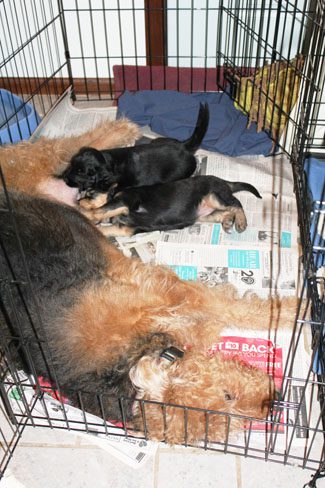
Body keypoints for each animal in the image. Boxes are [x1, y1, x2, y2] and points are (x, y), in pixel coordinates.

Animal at [0, 191, 298, 446]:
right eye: (228, 399)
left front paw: (300, 309)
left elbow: (242, 310)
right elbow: (233, 310)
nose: (275, 400)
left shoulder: (170, 294)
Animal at [61, 102, 209, 194]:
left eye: (81, 172)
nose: (64, 178)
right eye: (72, 164)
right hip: (157, 140)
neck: (108, 161)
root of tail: (184, 146)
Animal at [79, 174, 262, 237]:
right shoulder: (124, 229)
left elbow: (102, 209)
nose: (78, 200)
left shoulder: (124, 201)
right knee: (226, 211)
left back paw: (241, 222)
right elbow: (101, 228)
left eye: (89, 192)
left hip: (214, 196)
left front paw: (83, 212)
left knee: (236, 203)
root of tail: (225, 182)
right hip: (204, 215)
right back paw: (228, 222)